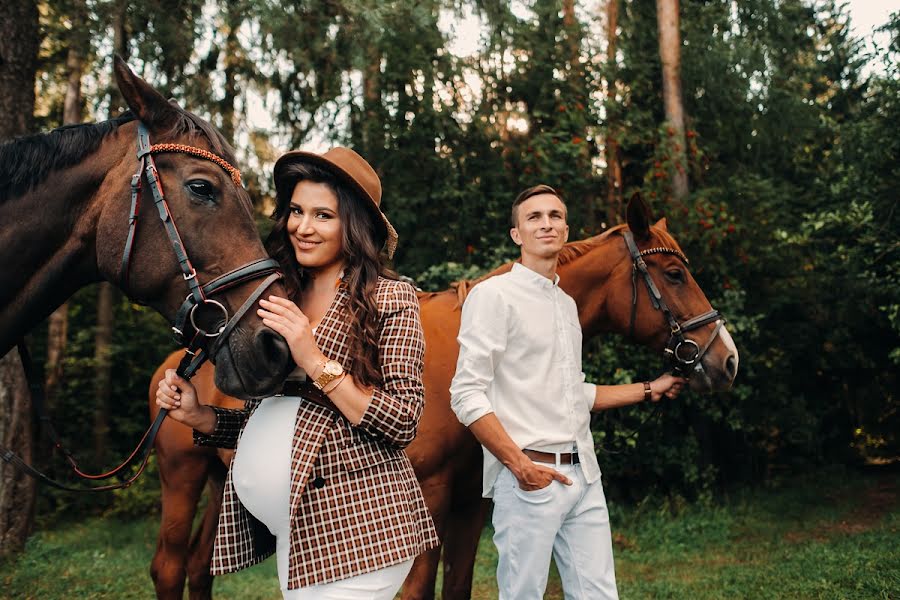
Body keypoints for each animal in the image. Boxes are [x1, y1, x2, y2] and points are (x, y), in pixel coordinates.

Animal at [148, 196, 740, 596]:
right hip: (183, 478)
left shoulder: (470, 506)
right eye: (674, 273)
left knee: (199, 570)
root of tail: (182, 359)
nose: (726, 359)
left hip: (223, 481)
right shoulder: (424, 504)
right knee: (170, 567)